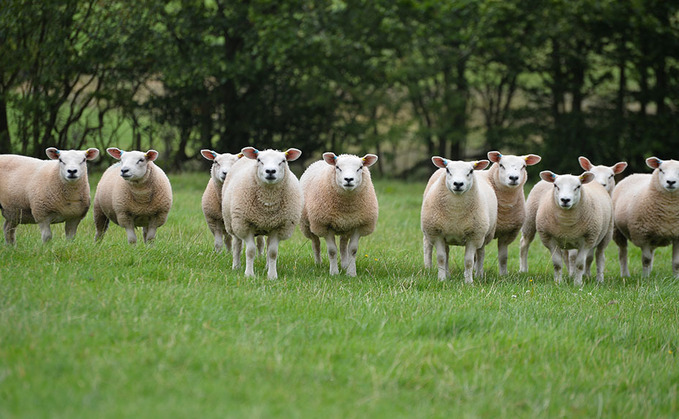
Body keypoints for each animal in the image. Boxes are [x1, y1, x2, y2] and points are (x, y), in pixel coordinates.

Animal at [223, 146, 302, 280]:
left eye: (283, 161)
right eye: (259, 160)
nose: (270, 171)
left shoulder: (278, 226)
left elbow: (272, 252)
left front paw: (272, 276)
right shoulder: (246, 224)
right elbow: (250, 251)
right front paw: (249, 274)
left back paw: (266, 267)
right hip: (234, 223)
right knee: (237, 245)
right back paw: (236, 266)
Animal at [422, 158, 496, 286]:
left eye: (471, 171)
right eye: (448, 170)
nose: (458, 184)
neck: (455, 212)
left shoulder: (474, 236)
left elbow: (469, 261)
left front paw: (469, 282)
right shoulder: (437, 233)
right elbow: (441, 258)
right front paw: (442, 279)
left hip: (484, 235)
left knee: (481, 253)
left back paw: (479, 275)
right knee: (439, 251)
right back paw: (439, 273)